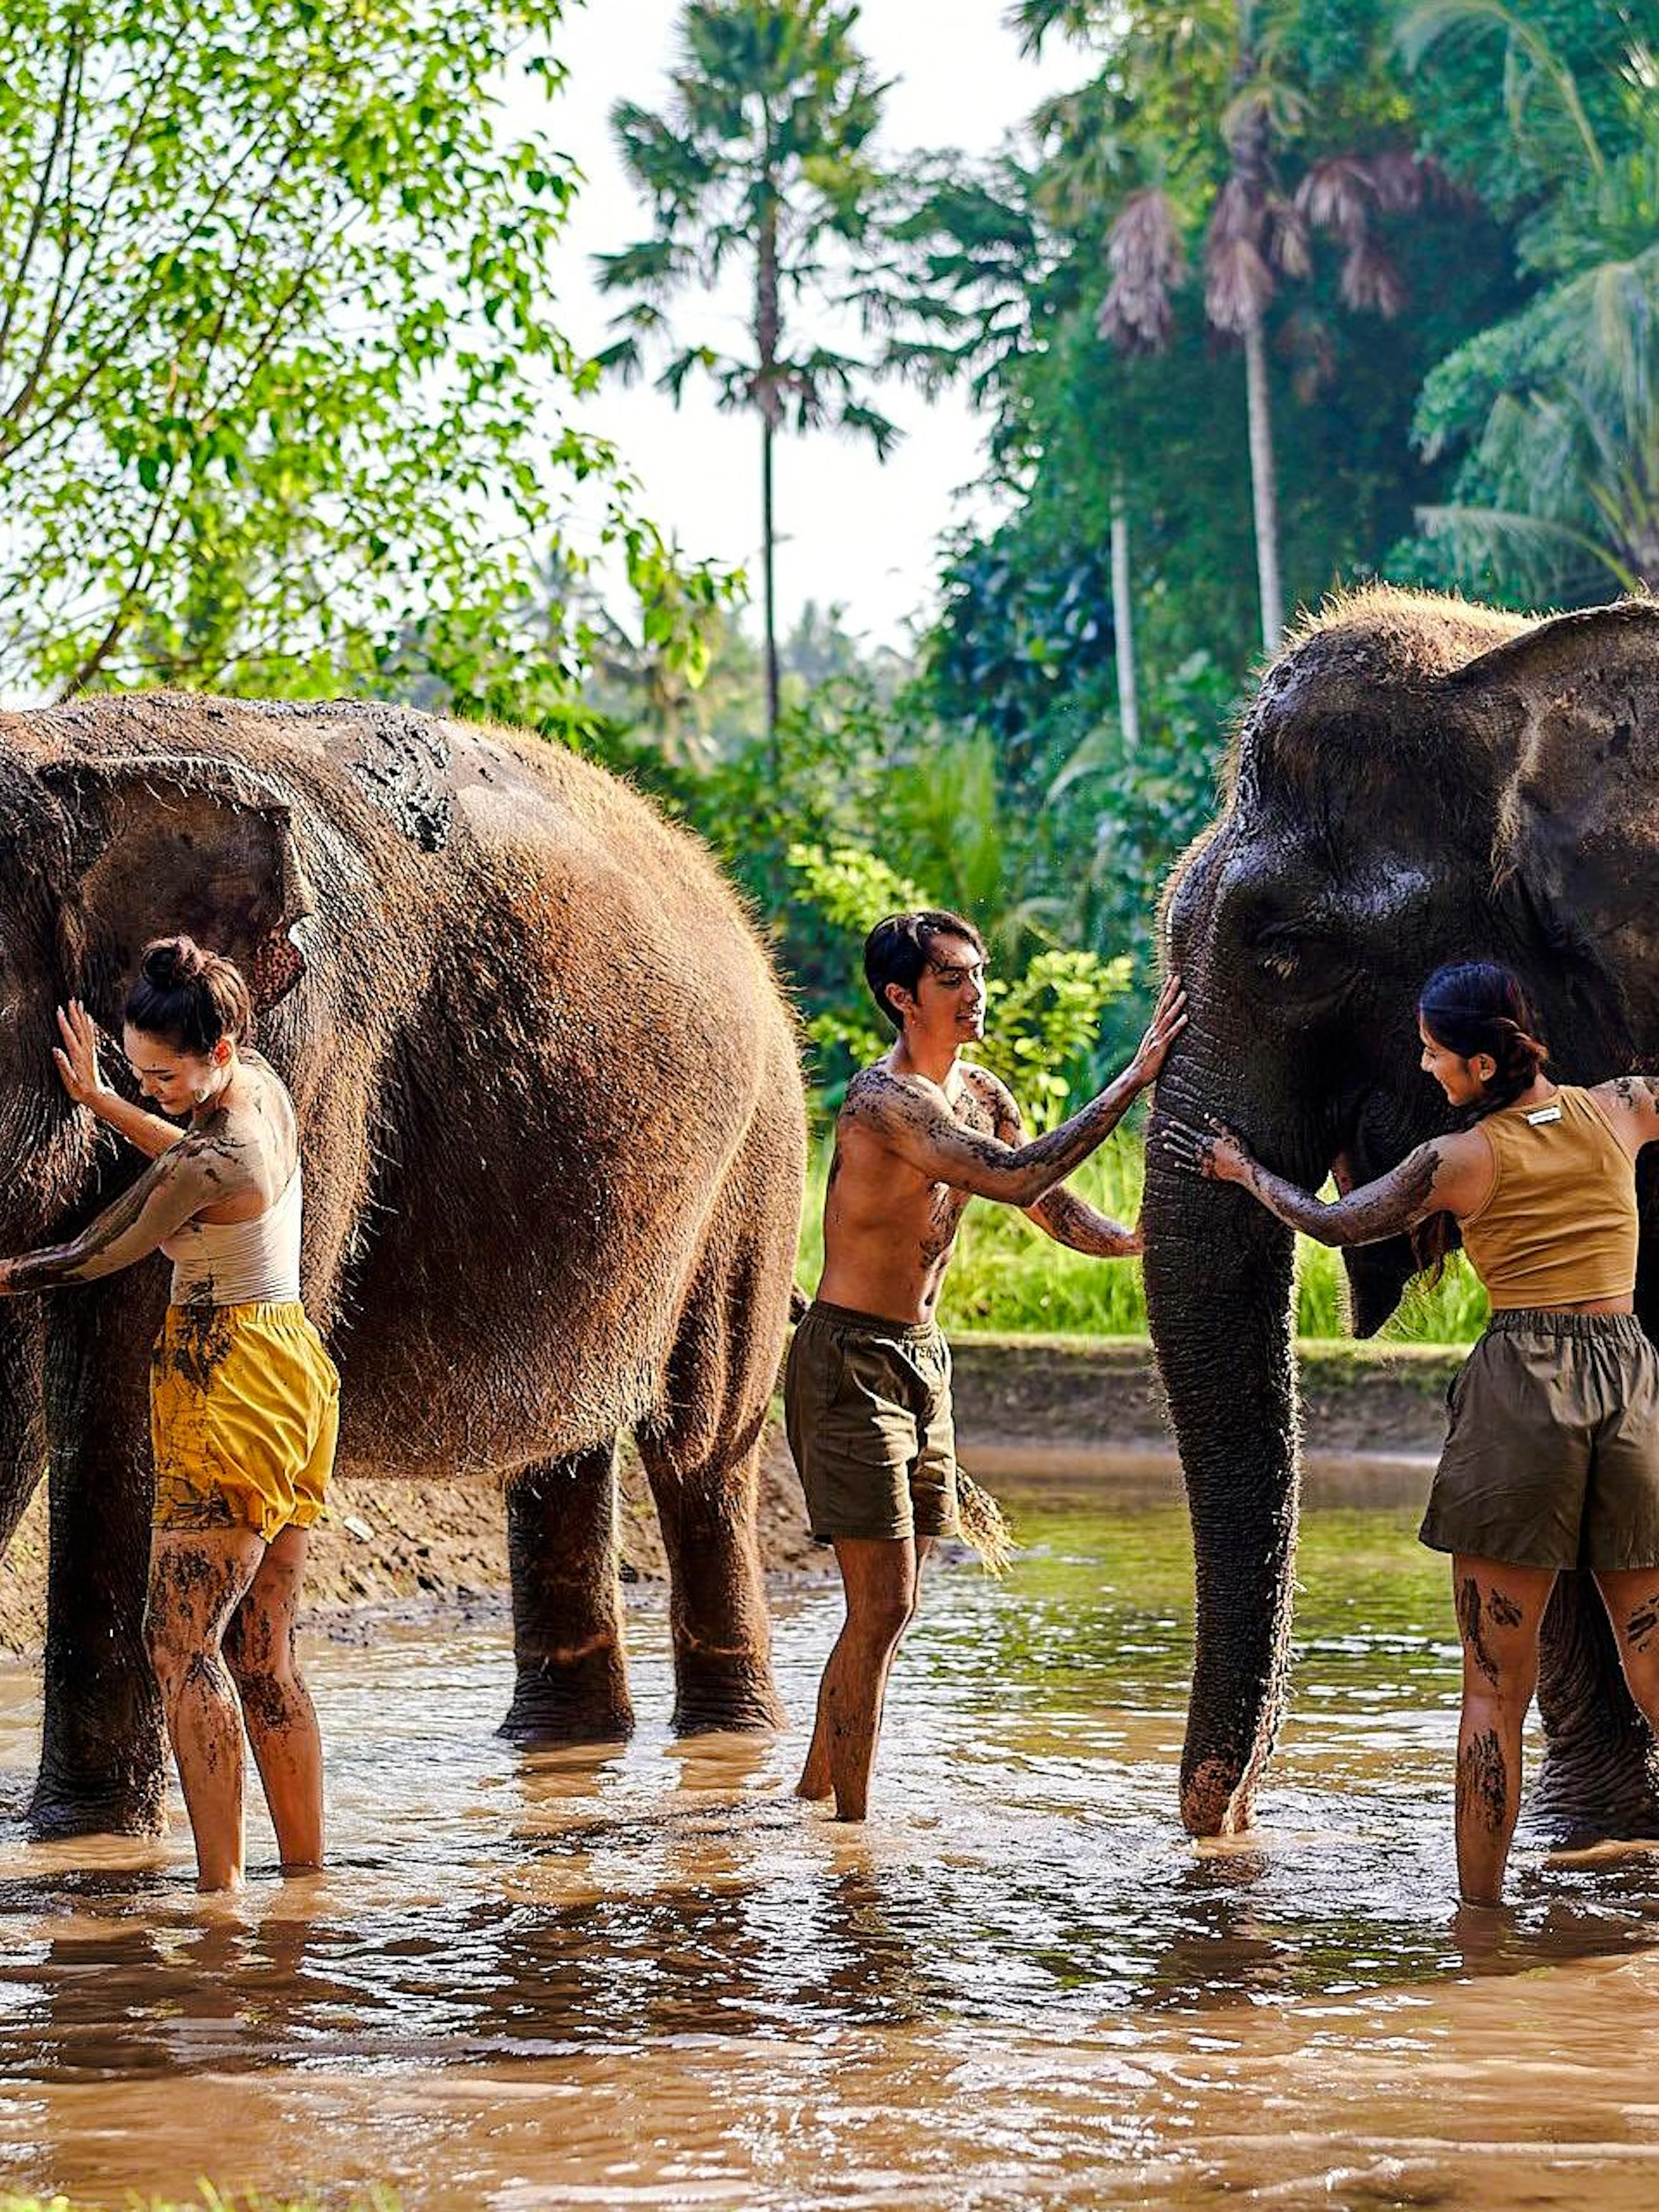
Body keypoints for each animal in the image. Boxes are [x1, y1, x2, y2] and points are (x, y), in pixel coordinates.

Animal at [0, 691, 806, 1837]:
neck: (68, 753)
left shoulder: (305, 1056)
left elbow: (136, 1382)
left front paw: (92, 1843)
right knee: (561, 1451)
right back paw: (565, 1745)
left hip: (759, 1155)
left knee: (702, 1449)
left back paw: (726, 1745)